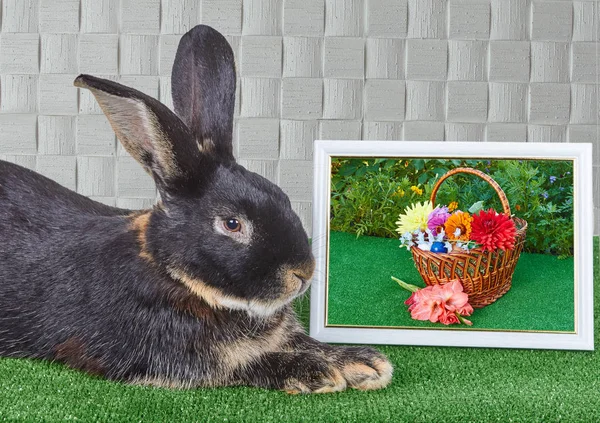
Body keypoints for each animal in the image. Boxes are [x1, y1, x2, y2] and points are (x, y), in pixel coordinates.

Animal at [0, 24, 394, 392]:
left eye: (281, 196)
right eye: (232, 224)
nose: (302, 273)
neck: (171, 271)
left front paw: (365, 362)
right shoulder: (172, 358)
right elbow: (245, 365)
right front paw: (319, 372)